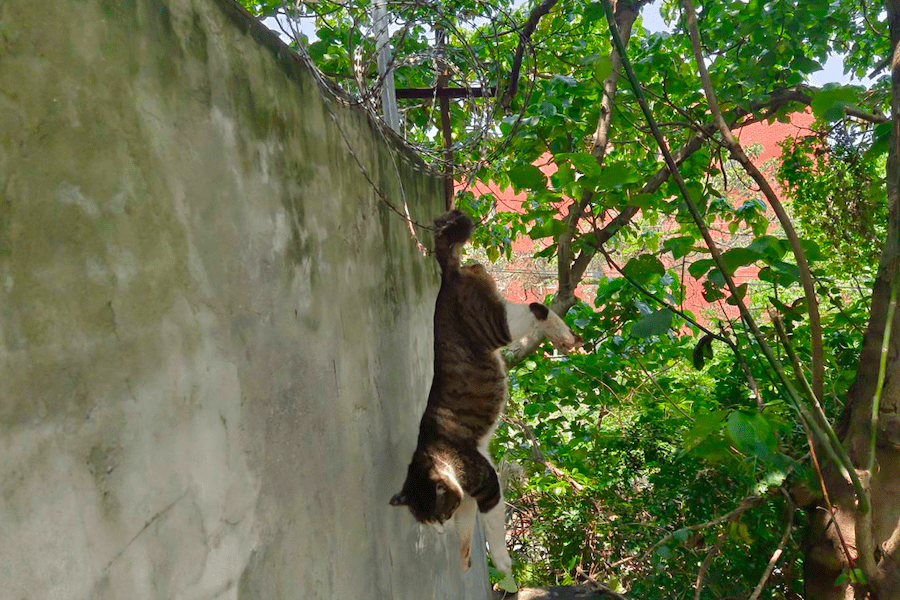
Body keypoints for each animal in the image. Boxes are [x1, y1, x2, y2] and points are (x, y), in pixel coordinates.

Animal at [392, 209, 576, 576]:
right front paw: (464, 556)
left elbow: (492, 528)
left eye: (438, 515)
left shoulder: (487, 482)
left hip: (495, 327)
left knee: (537, 306)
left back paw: (564, 337)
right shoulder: (467, 495)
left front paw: (503, 565)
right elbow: (467, 526)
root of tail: (446, 275)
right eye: (430, 522)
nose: (439, 531)